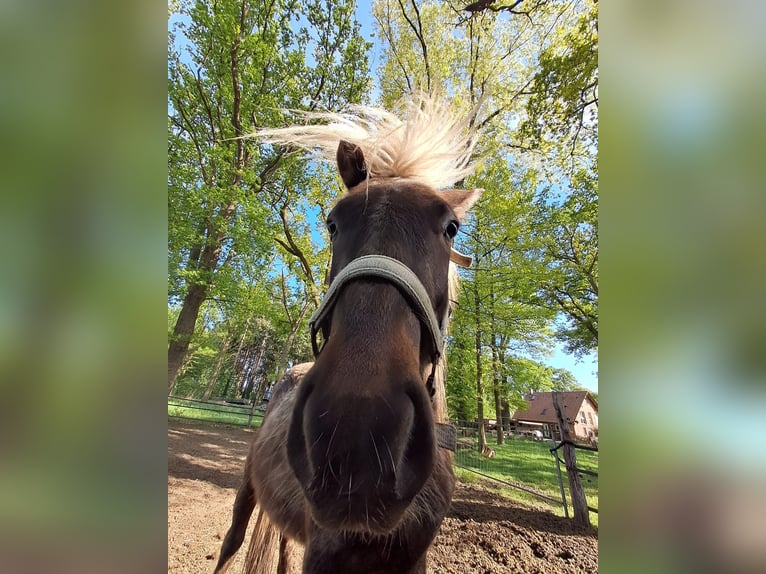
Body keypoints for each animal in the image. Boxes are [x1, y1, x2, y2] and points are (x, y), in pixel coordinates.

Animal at [213, 94, 483, 574]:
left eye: (451, 228)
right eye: (332, 222)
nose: (357, 433)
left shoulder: (414, 560)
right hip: (247, 485)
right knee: (232, 542)